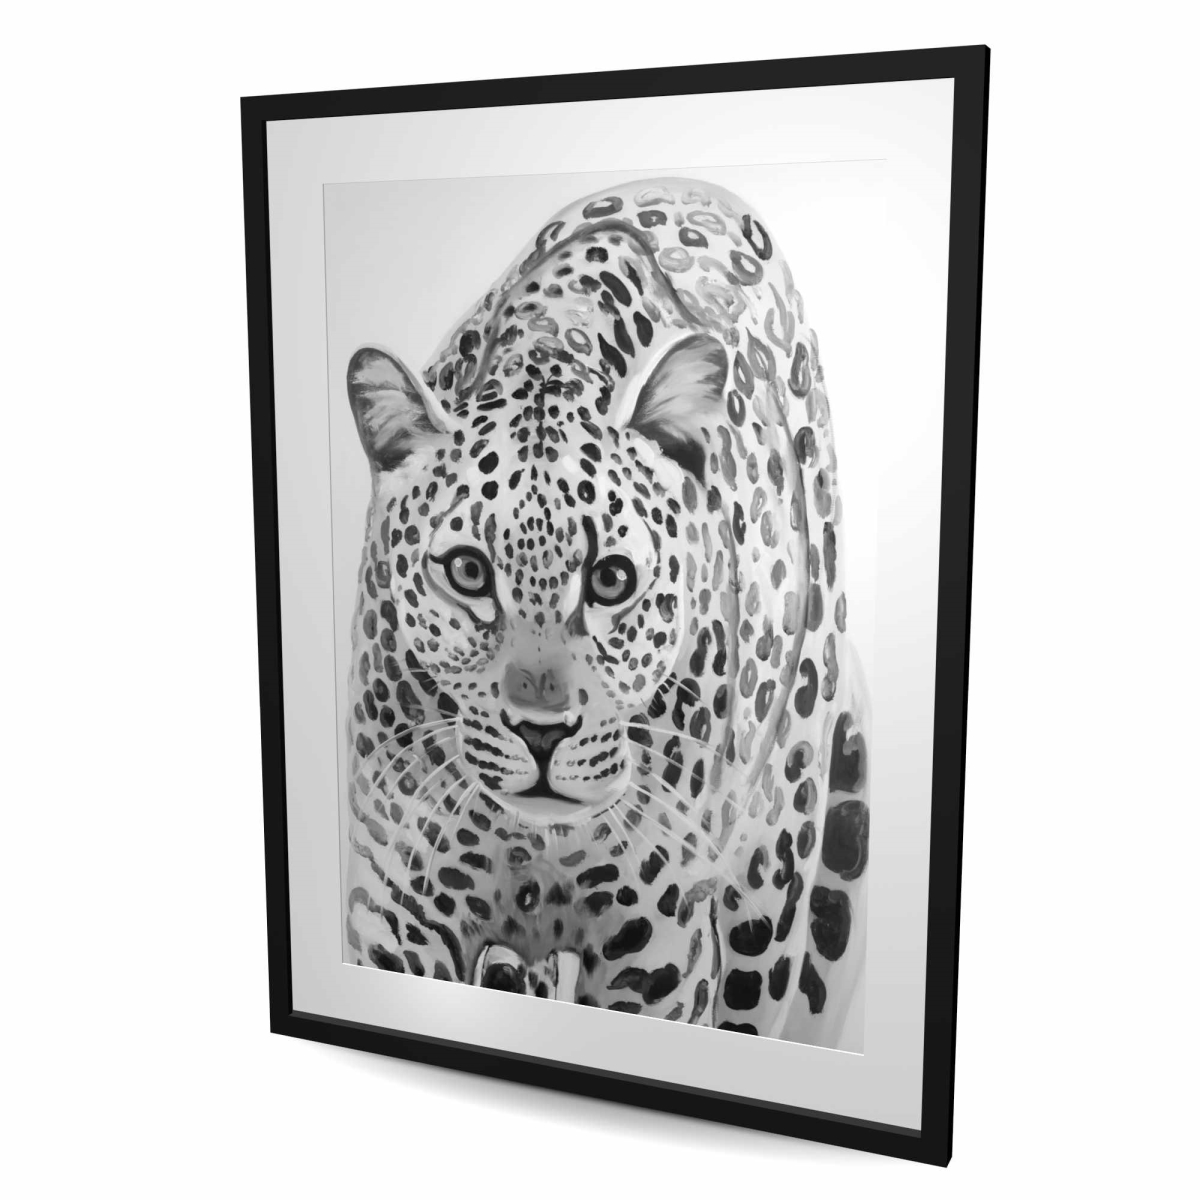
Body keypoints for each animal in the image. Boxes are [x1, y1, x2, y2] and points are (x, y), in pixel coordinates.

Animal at [342, 177, 870, 1046]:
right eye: (468, 571)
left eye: (612, 580)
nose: (540, 732)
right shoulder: (395, 908)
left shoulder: (659, 942)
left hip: (771, 887)